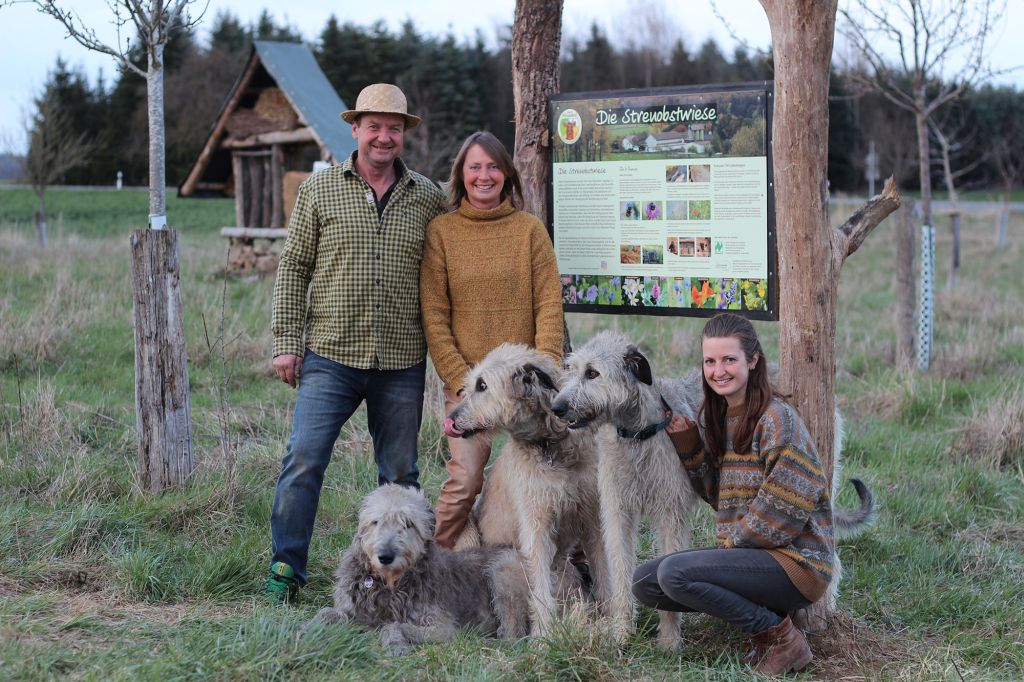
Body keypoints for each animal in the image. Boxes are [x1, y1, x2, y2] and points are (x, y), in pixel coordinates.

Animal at [305, 483, 528, 655]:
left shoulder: (442, 627)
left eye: (408, 523)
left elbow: (391, 624)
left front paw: (395, 643)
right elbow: (327, 612)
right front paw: (305, 628)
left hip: (503, 570)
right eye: (376, 521)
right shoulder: (353, 607)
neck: (389, 585)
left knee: (514, 635)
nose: (385, 556)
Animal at [446, 342, 606, 634]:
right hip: (470, 533)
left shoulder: (592, 518)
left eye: (482, 385)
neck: (550, 447)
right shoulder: (535, 525)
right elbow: (540, 587)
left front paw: (615, 622)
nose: (450, 419)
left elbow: (606, 574)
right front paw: (545, 636)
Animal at [552, 329, 704, 647]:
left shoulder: (670, 514)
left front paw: (669, 640)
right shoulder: (616, 511)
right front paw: (621, 632)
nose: (556, 408)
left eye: (593, 373)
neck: (636, 436)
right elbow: (620, 569)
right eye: (572, 369)